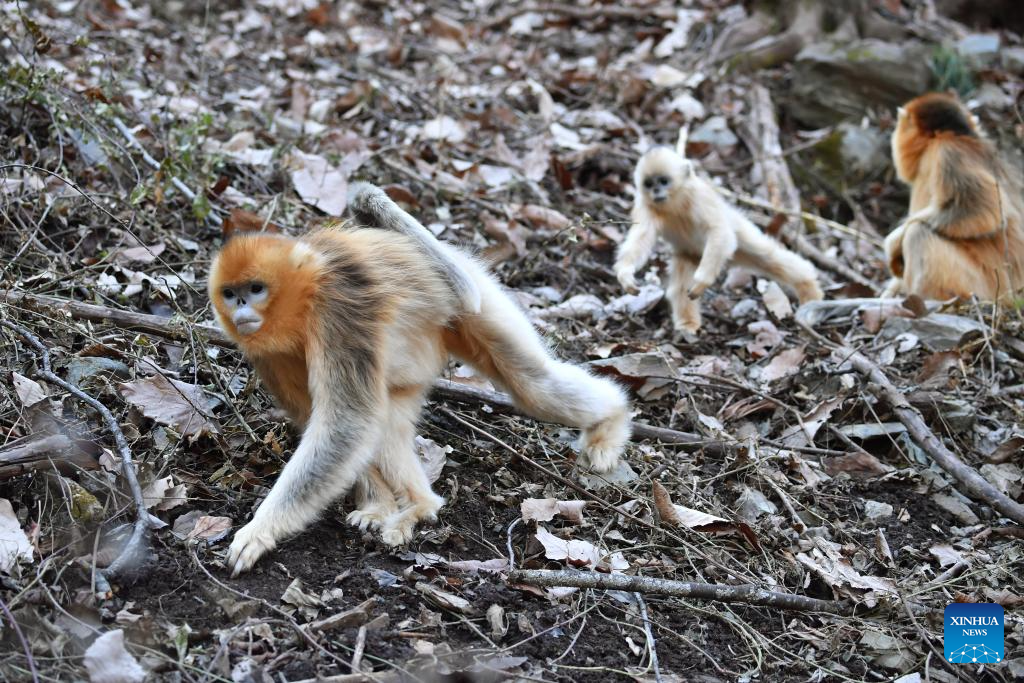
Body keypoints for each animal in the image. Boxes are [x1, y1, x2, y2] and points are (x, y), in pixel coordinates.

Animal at [208, 190, 631, 575]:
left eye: (256, 289)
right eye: (230, 294)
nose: (241, 308)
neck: (308, 293)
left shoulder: (341, 312)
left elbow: (346, 424)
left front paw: (260, 531)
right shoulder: (268, 352)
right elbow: (332, 422)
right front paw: (378, 506)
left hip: (476, 298)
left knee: (534, 385)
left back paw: (611, 423)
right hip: (411, 370)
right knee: (390, 423)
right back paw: (415, 505)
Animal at [614, 134, 824, 334]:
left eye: (663, 181)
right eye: (649, 184)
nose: (656, 190)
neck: (676, 206)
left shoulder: (700, 197)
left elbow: (718, 230)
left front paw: (702, 281)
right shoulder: (646, 207)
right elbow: (640, 238)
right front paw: (625, 273)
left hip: (737, 232)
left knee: (768, 257)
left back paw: (810, 292)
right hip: (691, 254)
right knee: (680, 286)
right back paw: (688, 325)